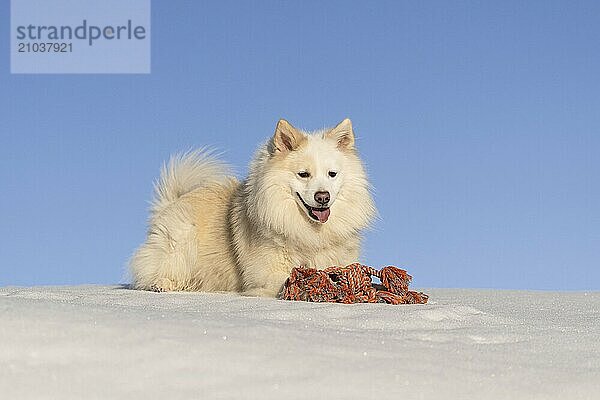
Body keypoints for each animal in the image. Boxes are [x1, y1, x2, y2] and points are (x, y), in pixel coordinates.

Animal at [131, 117, 376, 296]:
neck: (310, 234)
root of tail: (173, 201)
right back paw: (162, 284)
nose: (322, 197)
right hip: (182, 243)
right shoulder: (268, 272)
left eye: (332, 174)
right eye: (303, 174)